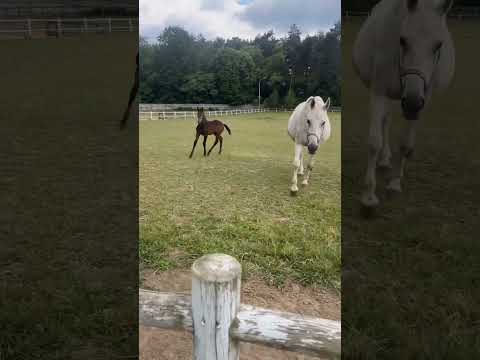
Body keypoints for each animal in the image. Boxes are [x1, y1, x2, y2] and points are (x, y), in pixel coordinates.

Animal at [354, 0, 456, 210]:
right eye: (402, 40)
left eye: (438, 45)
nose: (411, 103)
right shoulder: (379, 92)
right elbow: (374, 142)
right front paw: (369, 195)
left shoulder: (424, 100)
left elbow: (406, 144)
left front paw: (394, 183)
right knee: (385, 121)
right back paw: (384, 159)